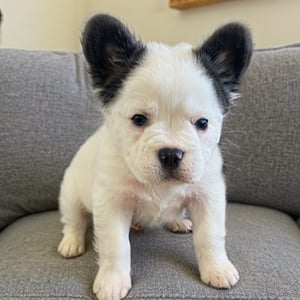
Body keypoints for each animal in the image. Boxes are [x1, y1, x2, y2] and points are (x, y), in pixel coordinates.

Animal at [57, 13, 252, 300]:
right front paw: (113, 280)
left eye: (202, 123)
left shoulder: (208, 195)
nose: (171, 154)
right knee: (74, 220)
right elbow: (116, 245)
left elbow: (210, 235)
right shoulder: (111, 203)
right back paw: (71, 242)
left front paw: (216, 268)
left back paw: (177, 221)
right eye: (138, 120)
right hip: (70, 194)